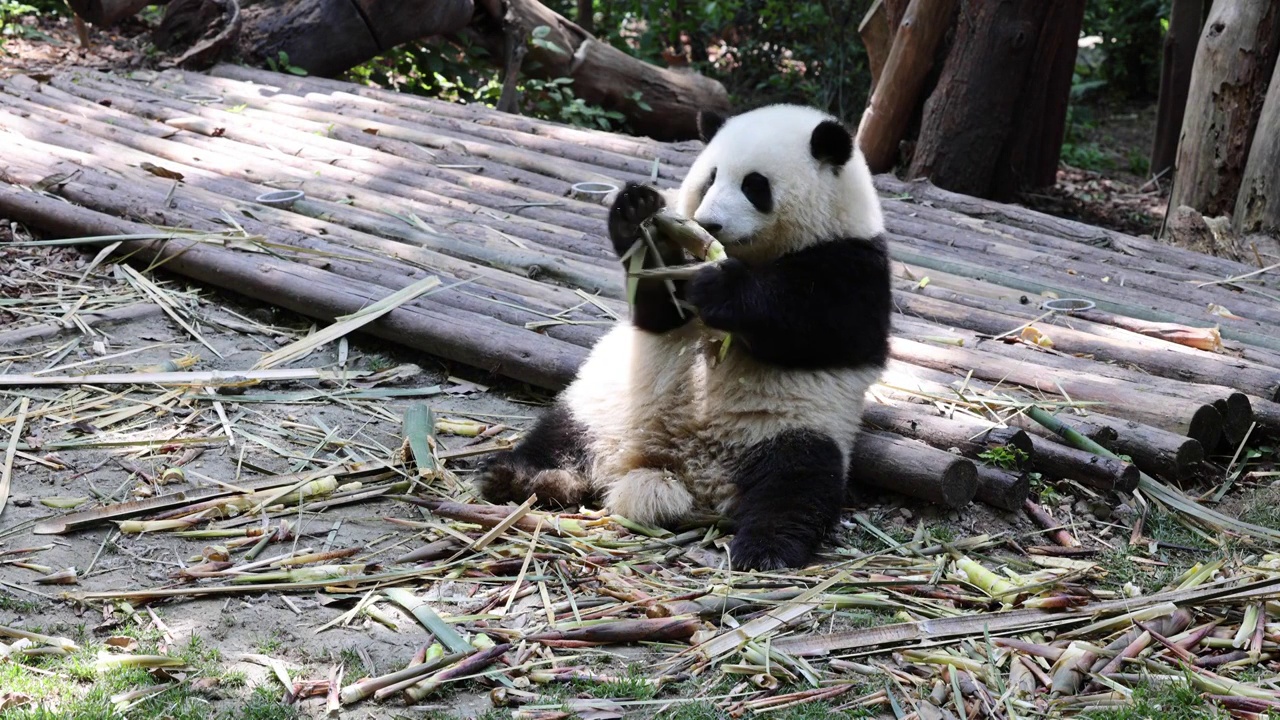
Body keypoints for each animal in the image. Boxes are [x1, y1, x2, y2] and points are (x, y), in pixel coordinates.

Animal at [473, 102, 890, 571]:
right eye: (710, 177)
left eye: (754, 186)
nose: (709, 224)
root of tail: (681, 466)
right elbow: (659, 309)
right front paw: (636, 211)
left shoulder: (856, 263)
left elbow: (823, 329)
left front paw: (723, 289)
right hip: (600, 409)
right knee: (558, 438)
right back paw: (516, 477)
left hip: (791, 427)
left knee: (797, 485)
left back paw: (766, 549)